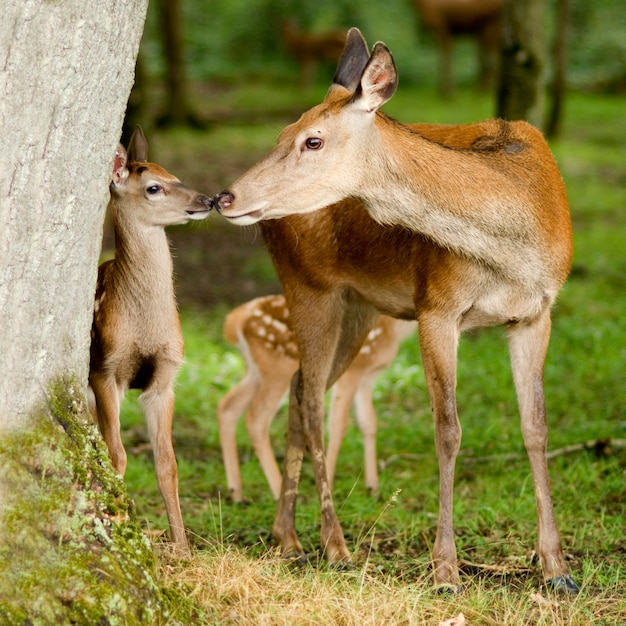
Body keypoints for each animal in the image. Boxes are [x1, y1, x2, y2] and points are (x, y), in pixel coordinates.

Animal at [88, 125, 212, 544]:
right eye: (153, 188)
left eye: (176, 176)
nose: (207, 199)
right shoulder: (105, 368)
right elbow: (116, 454)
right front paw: (118, 521)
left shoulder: (165, 378)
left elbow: (167, 464)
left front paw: (182, 545)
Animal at [214, 292, 414, 502]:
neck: (392, 331)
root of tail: (235, 319)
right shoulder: (352, 373)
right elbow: (338, 425)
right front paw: (331, 485)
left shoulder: (367, 378)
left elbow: (369, 423)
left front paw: (373, 488)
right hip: (278, 368)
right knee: (256, 418)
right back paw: (278, 491)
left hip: (255, 371)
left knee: (227, 406)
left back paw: (236, 492)